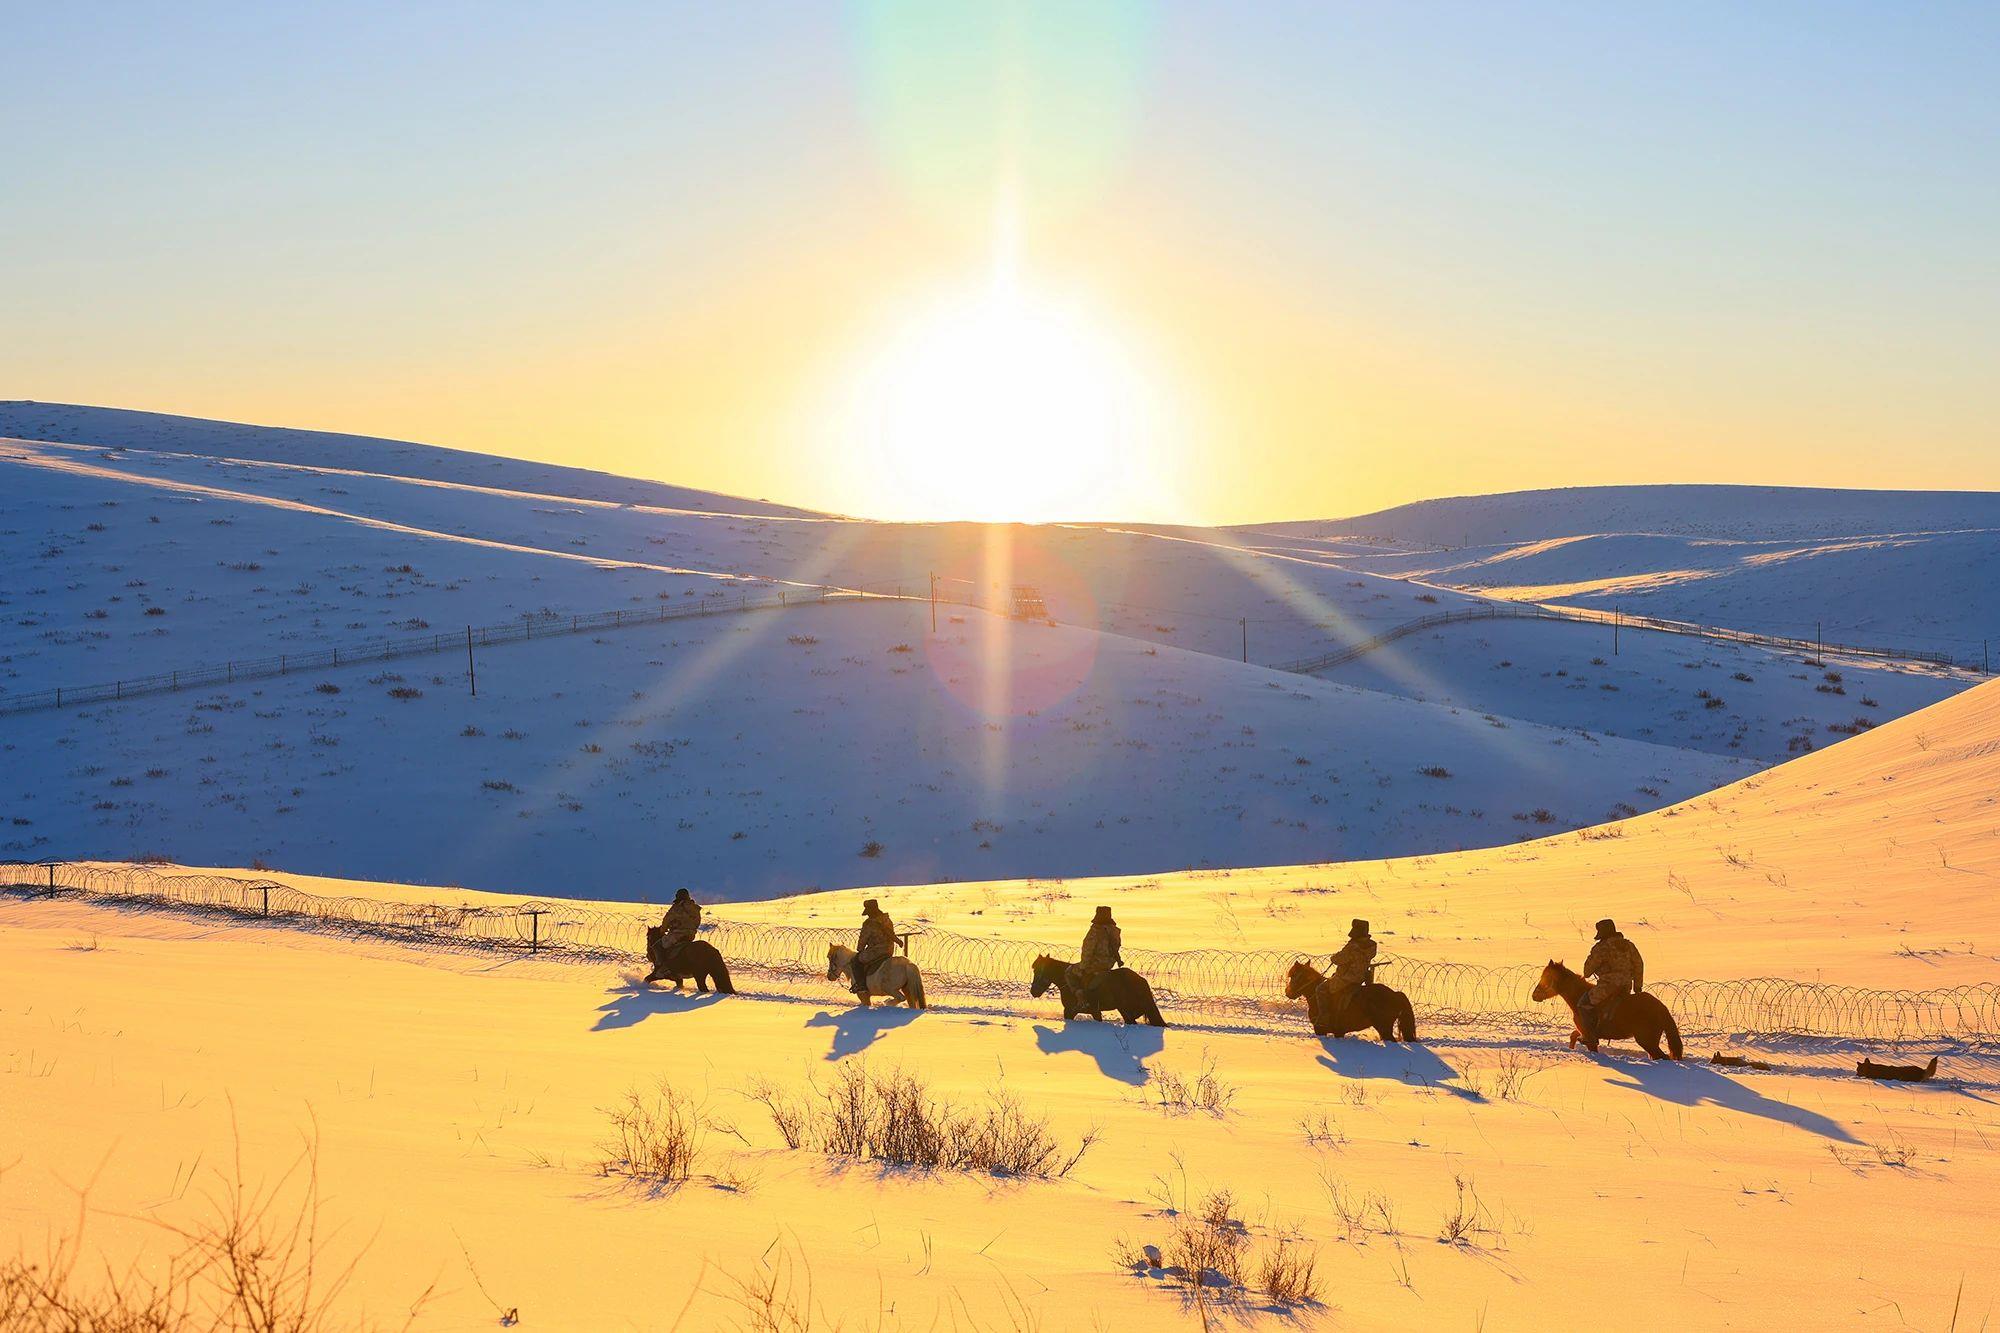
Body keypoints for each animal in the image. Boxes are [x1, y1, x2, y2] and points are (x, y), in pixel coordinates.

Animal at [1032, 948, 1168, 1020]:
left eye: (1038, 970)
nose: (1033, 992)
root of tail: (1141, 980)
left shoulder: (1073, 1011)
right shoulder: (1090, 1012)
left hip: (1126, 1010)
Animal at [1536, 956, 1680, 1056]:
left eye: (1545, 977)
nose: (1534, 995)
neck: (1579, 997)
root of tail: (1662, 1008)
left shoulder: (1590, 1037)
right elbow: (1573, 1035)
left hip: (1647, 1041)